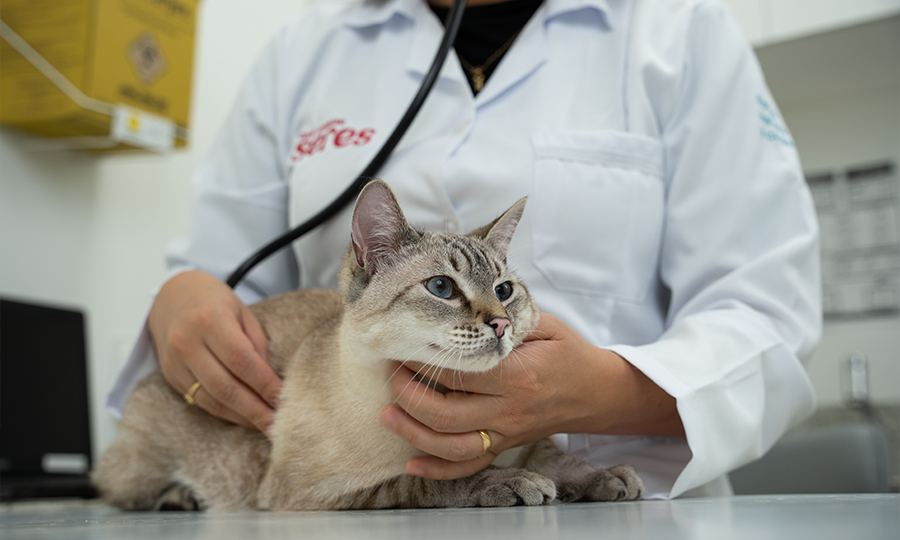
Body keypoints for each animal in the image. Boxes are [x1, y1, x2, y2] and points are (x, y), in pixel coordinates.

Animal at [91, 180, 644, 510]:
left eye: (505, 291)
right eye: (442, 288)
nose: (502, 324)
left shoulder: (531, 442)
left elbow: (560, 459)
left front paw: (606, 477)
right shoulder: (312, 495)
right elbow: (429, 481)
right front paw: (507, 484)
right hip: (143, 464)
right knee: (113, 487)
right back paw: (176, 497)